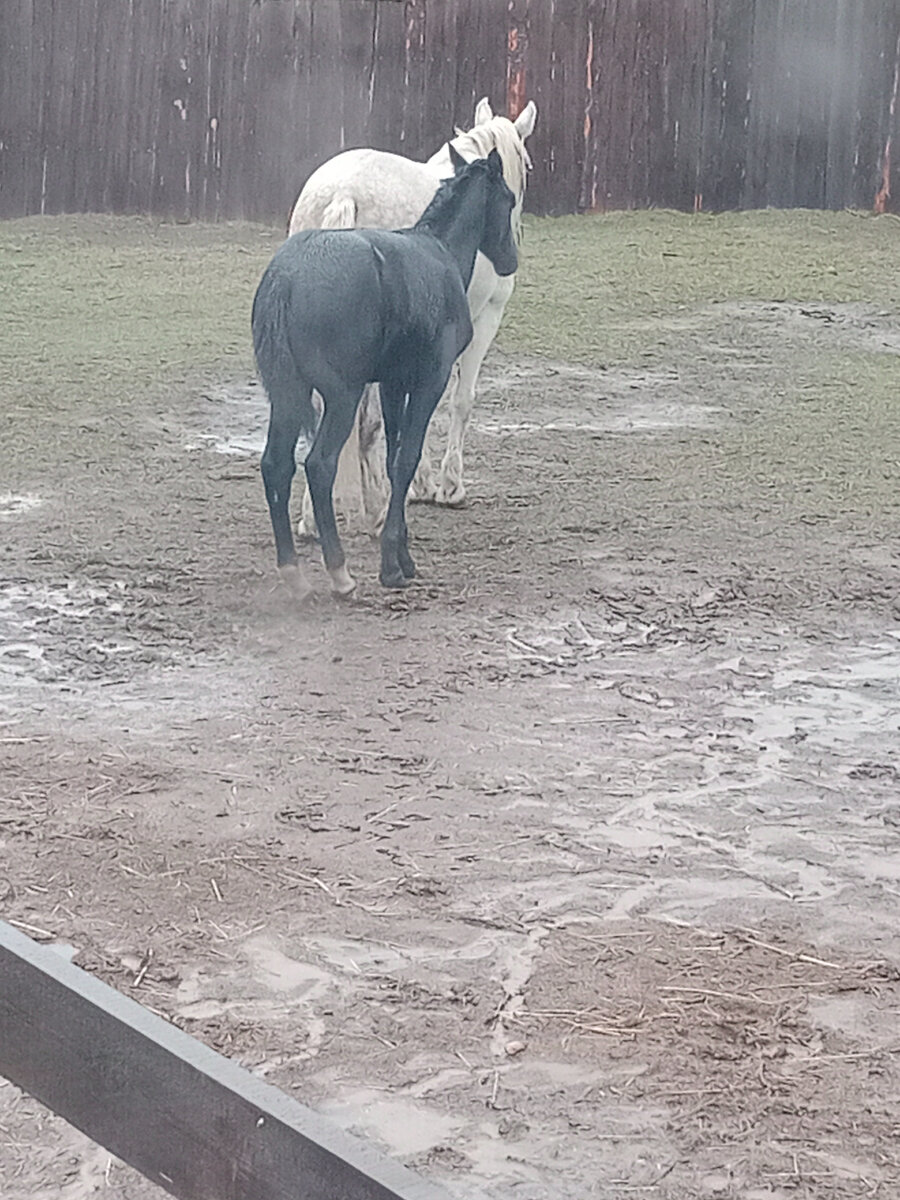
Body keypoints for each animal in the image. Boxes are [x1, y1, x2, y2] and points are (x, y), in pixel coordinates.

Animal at [250, 150, 518, 600]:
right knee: (319, 465)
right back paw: (339, 573)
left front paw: (403, 555)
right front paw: (393, 564)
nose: (510, 261)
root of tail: (286, 279)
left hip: (289, 395)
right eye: (509, 199)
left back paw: (294, 573)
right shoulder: (430, 381)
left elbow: (394, 461)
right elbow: (408, 457)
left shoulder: (393, 384)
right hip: (342, 396)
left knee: (276, 465)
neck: (438, 252)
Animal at [289, 96, 540, 537]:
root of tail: (342, 193)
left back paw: (315, 519)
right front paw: (448, 486)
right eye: (525, 165)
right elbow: (459, 401)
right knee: (364, 421)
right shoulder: (484, 320)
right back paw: (373, 510)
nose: (510, 250)